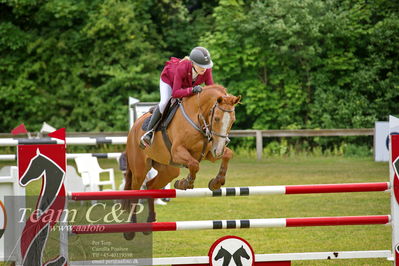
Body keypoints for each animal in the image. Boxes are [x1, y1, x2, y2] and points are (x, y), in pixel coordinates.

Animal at [123, 84, 241, 240]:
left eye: (233, 121)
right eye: (216, 119)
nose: (219, 149)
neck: (198, 118)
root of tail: (133, 128)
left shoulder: (209, 153)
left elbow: (228, 154)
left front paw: (217, 181)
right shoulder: (178, 152)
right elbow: (194, 164)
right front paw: (185, 183)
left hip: (169, 170)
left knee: (150, 186)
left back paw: (150, 221)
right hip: (140, 170)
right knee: (135, 192)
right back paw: (130, 229)